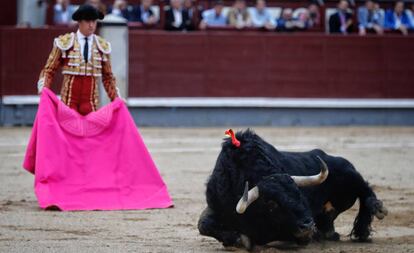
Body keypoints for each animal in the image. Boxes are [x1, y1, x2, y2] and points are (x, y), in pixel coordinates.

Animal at [199, 129, 386, 250]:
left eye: (299, 193)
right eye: (271, 203)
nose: (308, 225)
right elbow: (203, 224)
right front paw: (237, 239)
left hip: (349, 175)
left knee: (365, 190)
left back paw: (375, 213)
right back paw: (329, 232)